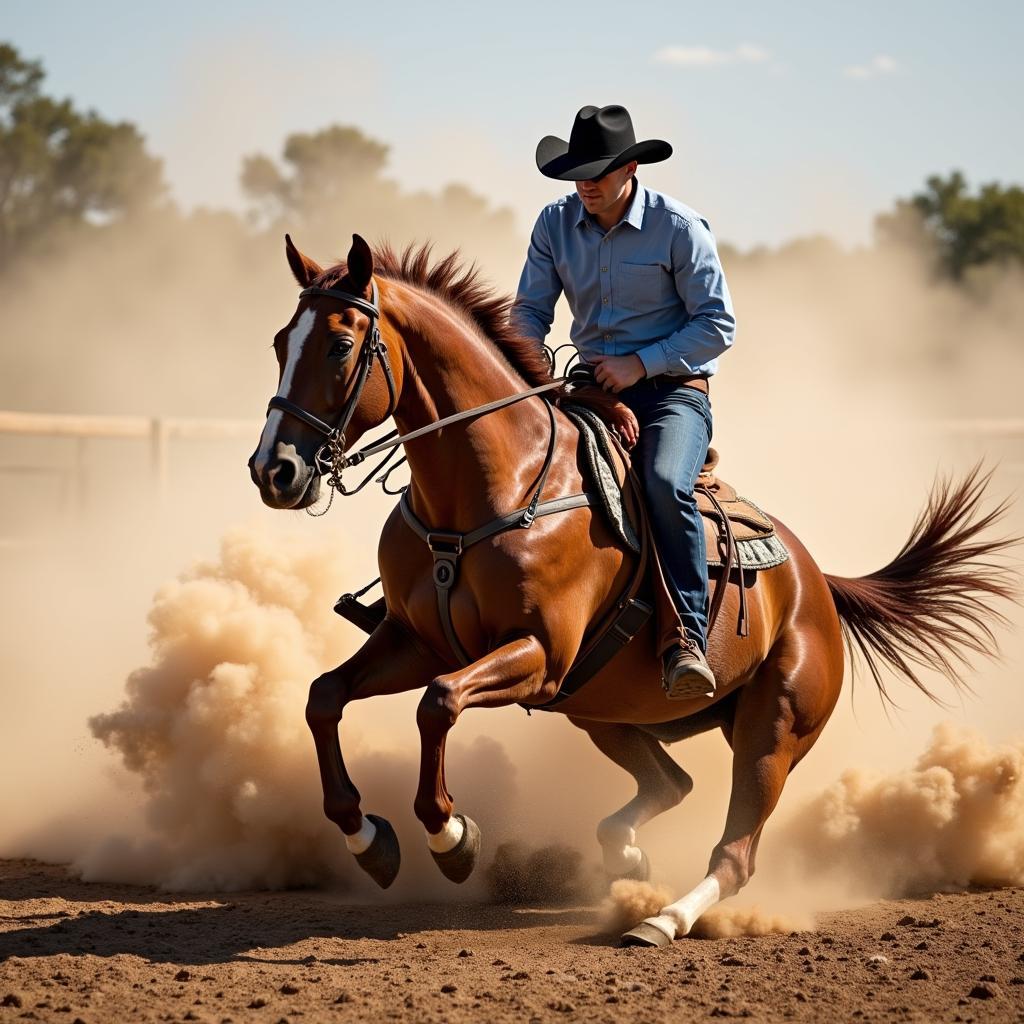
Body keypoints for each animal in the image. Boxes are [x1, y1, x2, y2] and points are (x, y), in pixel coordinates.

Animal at [249, 235, 1015, 946]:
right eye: (282, 341)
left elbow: (437, 706)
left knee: (736, 852)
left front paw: (451, 837)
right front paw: (368, 839)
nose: (273, 470)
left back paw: (663, 919)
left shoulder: (536, 654)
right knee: (671, 784)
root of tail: (813, 581)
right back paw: (626, 858)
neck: (490, 490)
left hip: (772, 728)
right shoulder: (416, 641)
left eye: (340, 346)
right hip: (602, 711)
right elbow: (325, 696)